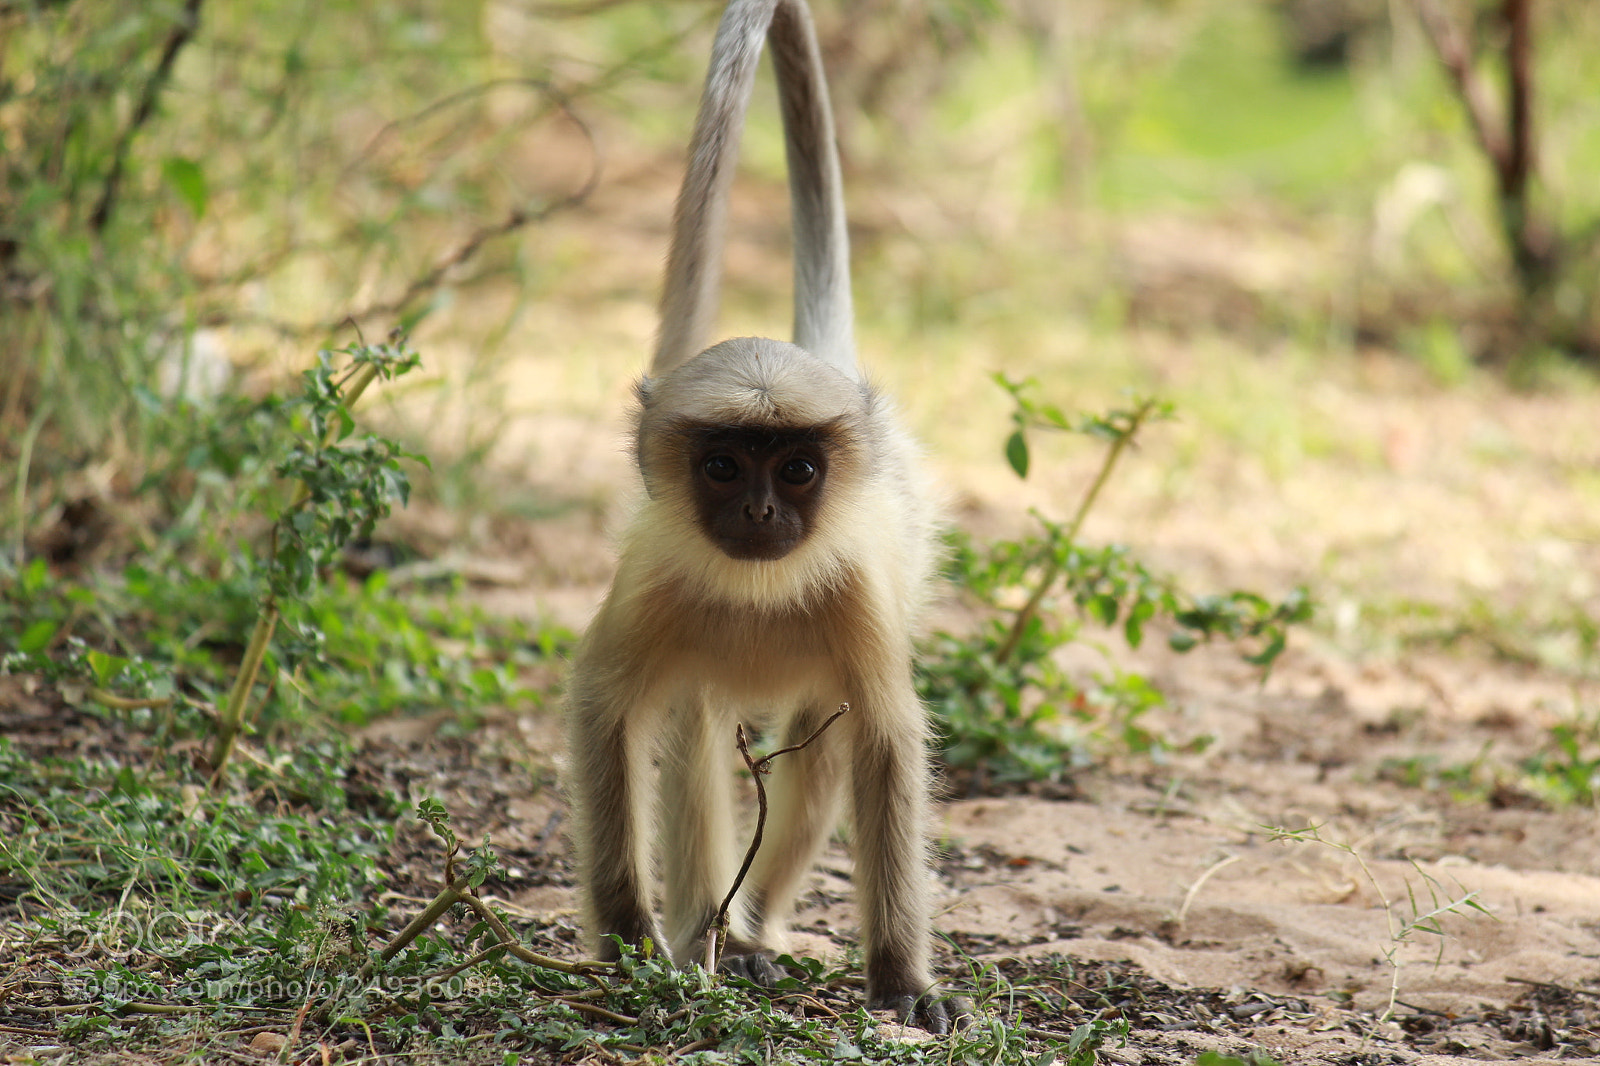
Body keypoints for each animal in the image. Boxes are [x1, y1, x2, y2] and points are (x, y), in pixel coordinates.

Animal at [563, 0, 966, 1034]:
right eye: (721, 466)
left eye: (796, 468)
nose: (757, 507)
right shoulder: (652, 578)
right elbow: (608, 711)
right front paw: (629, 943)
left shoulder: (859, 591)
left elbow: (885, 745)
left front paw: (902, 979)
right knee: (699, 731)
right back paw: (714, 938)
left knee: (821, 747)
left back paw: (747, 933)